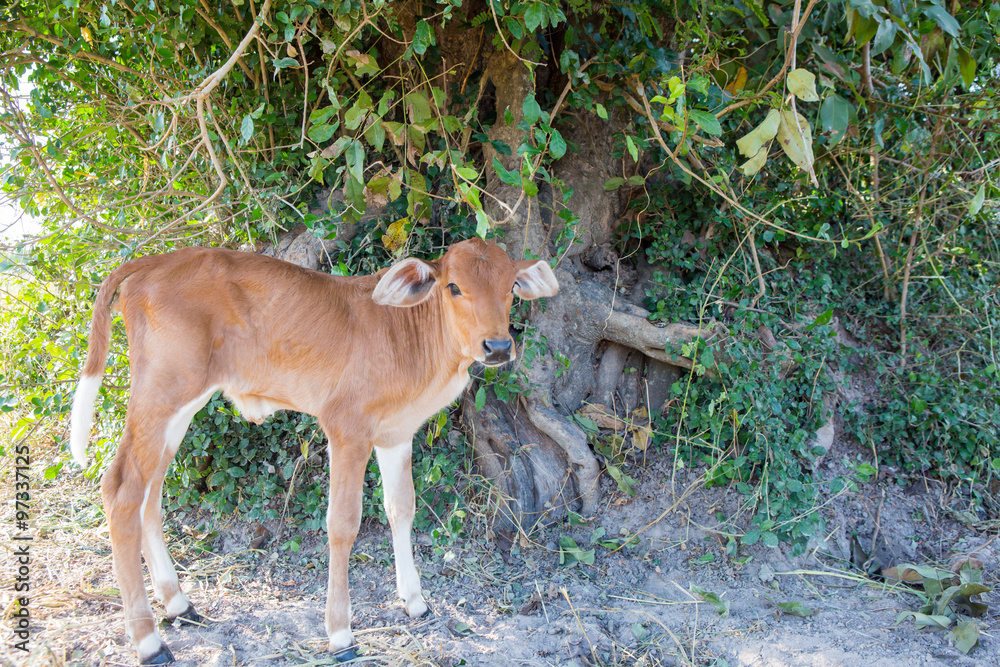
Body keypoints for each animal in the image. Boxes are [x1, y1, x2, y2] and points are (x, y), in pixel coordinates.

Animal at [69, 238, 559, 664]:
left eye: (511, 287)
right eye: (453, 286)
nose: (498, 346)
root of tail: (152, 262)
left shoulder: (396, 434)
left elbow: (402, 508)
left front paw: (415, 601)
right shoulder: (347, 429)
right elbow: (343, 523)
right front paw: (340, 635)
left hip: (180, 407)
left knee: (150, 492)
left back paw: (178, 604)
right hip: (160, 393)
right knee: (121, 489)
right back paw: (149, 642)